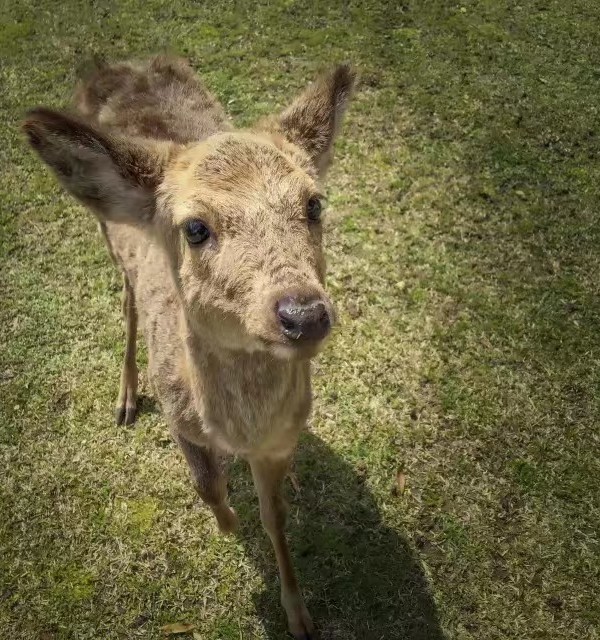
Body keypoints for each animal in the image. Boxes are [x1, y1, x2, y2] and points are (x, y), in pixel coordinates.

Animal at [22, 56, 352, 640]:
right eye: (195, 227)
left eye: (314, 203)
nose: (303, 314)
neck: (239, 430)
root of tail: (115, 63)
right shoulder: (181, 420)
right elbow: (208, 486)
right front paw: (228, 526)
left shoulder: (280, 440)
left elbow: (277, 516)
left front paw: (300, 616)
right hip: (109, 237)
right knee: (128, 300)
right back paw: (126, 399)